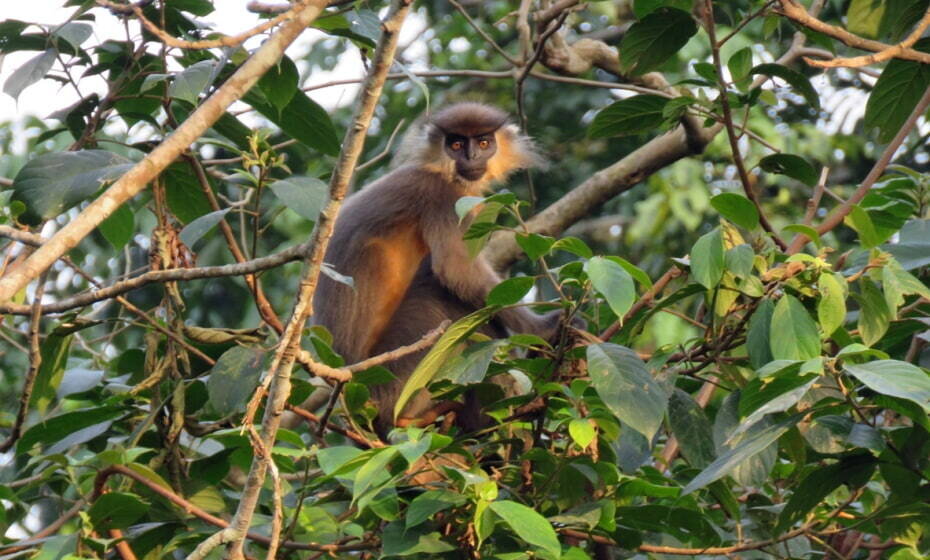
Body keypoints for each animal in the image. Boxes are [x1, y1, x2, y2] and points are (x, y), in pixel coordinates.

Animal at [312, 103, 560, 436]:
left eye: (484, 142)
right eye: (455, 144)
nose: (471, 156)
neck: (441, 170)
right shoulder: (442, 197)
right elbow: (456, 270)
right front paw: (544, 329)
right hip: (396, 378)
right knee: (445, 295)